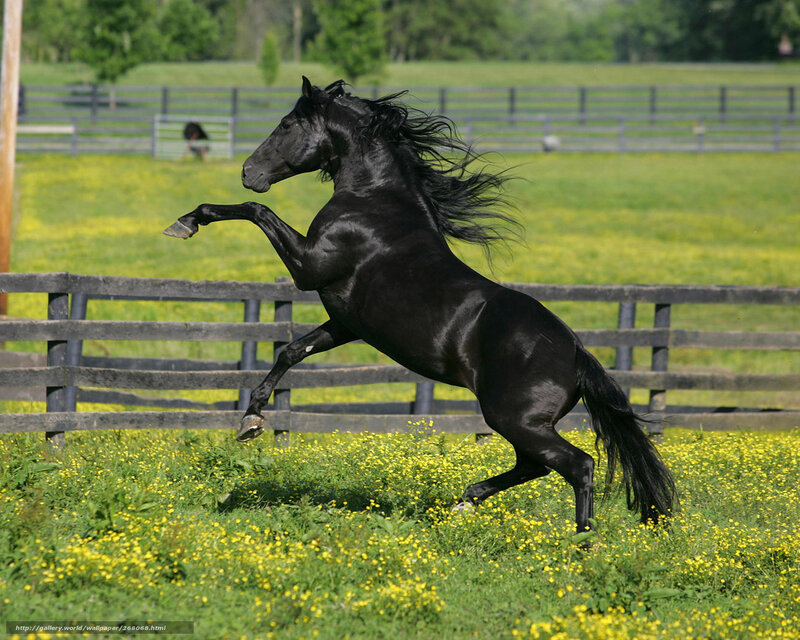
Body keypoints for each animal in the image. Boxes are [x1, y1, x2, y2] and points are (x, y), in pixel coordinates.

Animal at [164, 77, 676, 534]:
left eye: (288, 123)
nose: (248, 172)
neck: (374, 202)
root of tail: (576, 354)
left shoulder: (309, 267)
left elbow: (256, 212)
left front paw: (186, 221)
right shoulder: (346, 322)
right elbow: (291, 351)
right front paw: (251, 419)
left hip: (515, 419)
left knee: (577, 465)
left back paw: (582, 544)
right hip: (521, 423)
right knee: (535, 466)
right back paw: (466, 501)